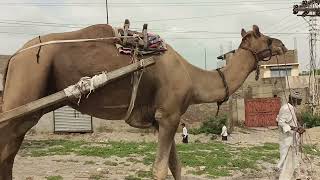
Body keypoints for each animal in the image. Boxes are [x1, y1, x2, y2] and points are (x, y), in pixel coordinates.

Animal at [0, 24, 288, 180]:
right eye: (267, 38)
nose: (283, 45)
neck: (191, 77)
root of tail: (15, 56)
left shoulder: (162, 119)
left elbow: (176, 166)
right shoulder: (169, 116)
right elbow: (160, 169)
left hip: (26, 109)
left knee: (8, 154)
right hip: (26, 85)